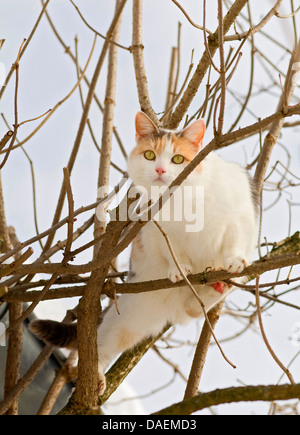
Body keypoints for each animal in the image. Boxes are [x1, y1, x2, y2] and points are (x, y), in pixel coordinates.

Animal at [29, 111, 256, 396]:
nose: (160, 170)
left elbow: (234, 240)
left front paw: (234, 260)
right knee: (107, 342)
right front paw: (178, 268)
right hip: (130, 314)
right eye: (149, 155)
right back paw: (96, 376)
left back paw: (219, 284)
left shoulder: (237, 218)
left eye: (178, 159)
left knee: (194, 308)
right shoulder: (158, 231)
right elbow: (173, 252)